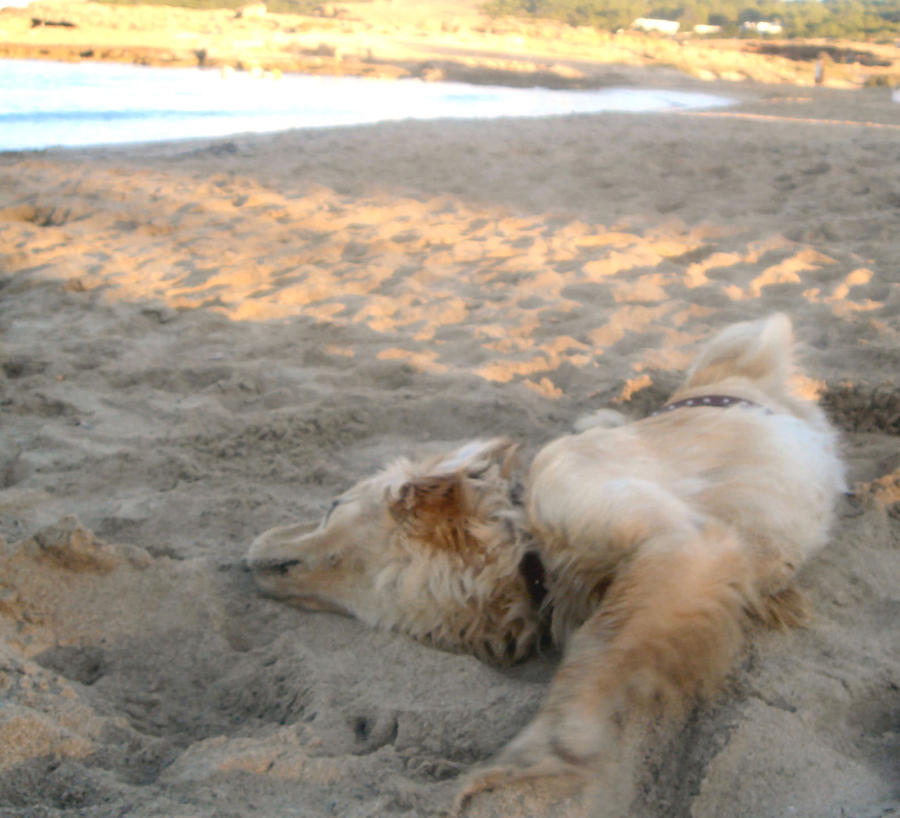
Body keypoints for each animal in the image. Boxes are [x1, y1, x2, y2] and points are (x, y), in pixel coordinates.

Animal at [244, 316, 844, 808]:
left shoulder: (683, 542)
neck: (524, 544)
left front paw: (539, 757)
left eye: (332, 505)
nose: (246, 551)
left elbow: (597, 645)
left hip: (746, 343)